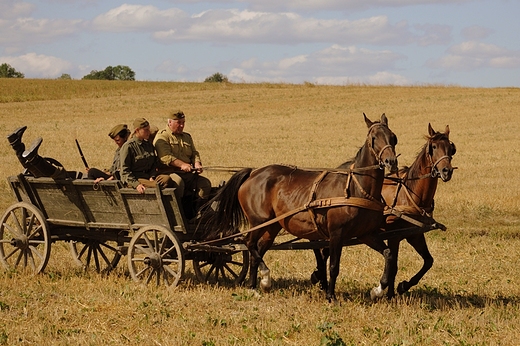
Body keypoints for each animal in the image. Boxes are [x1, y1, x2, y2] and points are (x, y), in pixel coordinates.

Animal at [312, 123, 456, 298]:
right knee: (321, 250)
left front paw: (402, 287)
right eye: (433, 147)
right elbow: (393, 265)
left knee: (324, 251)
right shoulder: (394, 236)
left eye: (451, 148)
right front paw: (386, 292)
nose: (446, 171)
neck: (411, 194)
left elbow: (428, 261)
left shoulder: (414, 235)